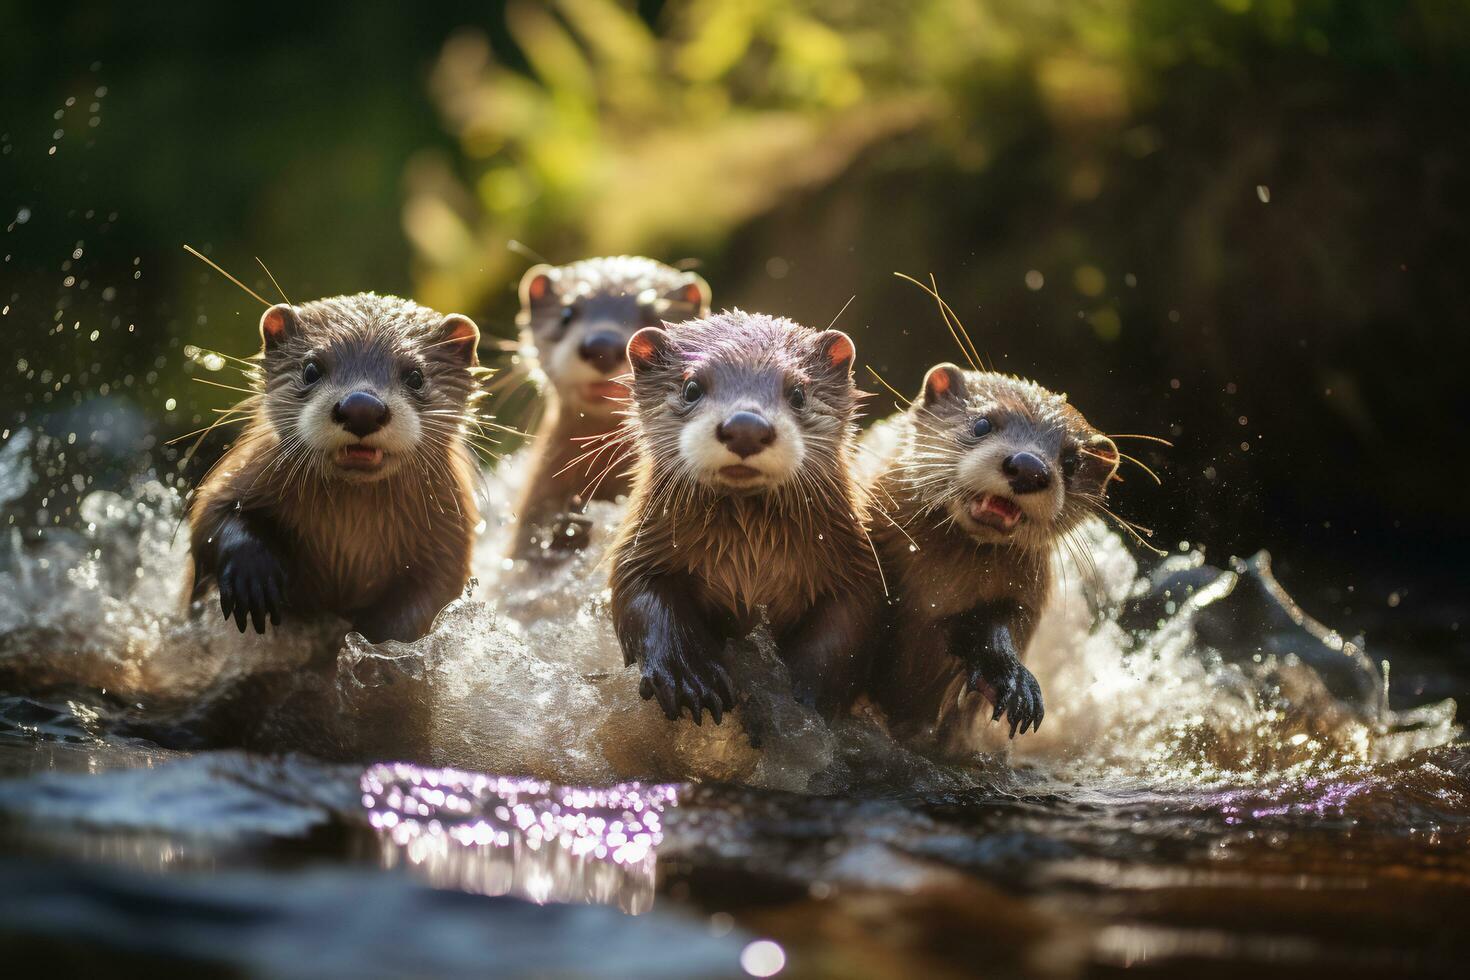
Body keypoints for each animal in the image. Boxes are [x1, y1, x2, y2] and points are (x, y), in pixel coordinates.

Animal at [183, 290, 482, 643]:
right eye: (311, 369)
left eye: (416, 376)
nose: (362, 407)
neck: (350, 535)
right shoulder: (241, 472)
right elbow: (208, 519)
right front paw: (251, 574)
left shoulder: (451, 538)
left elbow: (435, 592)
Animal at [608, 310, 882, 725]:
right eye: (691, 388)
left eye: (798, 393)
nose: (746, 427)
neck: (750, 563)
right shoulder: (641, 546)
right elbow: (640, 597)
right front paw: (690, 676)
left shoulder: (855, 561)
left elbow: (847, 627)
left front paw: (806, 697)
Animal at [864, 362, 1117, 743]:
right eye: (982, 424)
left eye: (1072, 462)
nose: (1029, 466)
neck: (938, 585)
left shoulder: (1023, 596)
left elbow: (997, 625)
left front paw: (1009, 678)